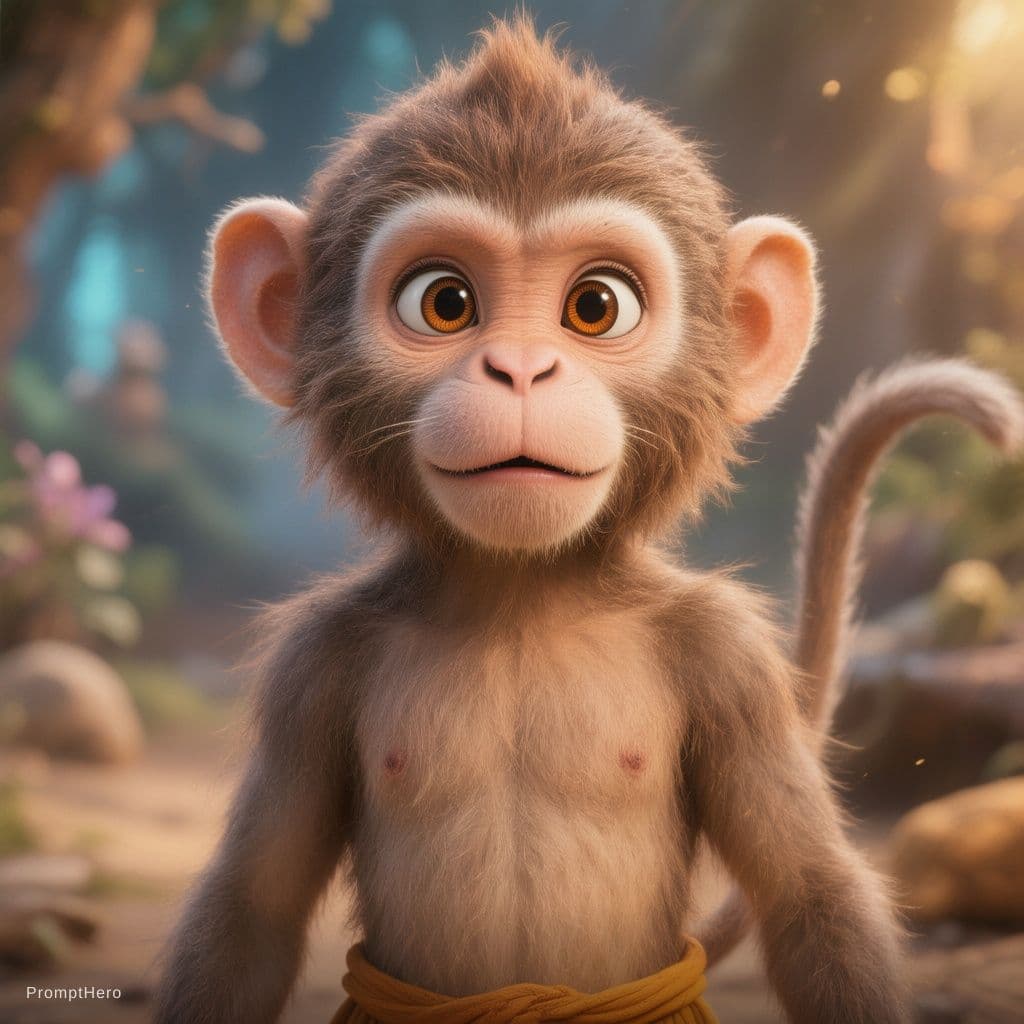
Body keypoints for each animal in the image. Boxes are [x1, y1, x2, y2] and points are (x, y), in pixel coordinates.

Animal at [154, 18, 1024, 1024]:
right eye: (443, 301)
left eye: (596, 306)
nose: (522, 370)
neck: (522, 598)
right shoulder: (311, 666)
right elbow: (253, 907)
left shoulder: (728, 659)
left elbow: (810, 895)